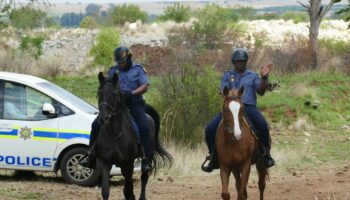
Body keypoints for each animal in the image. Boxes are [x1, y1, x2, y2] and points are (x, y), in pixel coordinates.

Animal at [95, 72, 172, 200]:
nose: (103, 118)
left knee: (144, 178)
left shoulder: (128, 164)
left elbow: (128, 190)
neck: (114, 134)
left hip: (147, 157)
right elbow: (105, 191)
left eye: (114, 94)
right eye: (99, 93)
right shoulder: (105, 163)